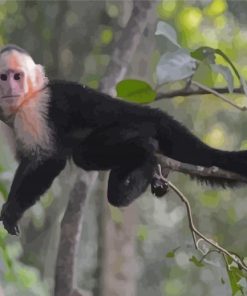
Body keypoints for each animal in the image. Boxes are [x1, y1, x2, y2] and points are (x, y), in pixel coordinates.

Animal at [0, 43, 247, 234]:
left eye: (18, 76)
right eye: (3, 77)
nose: (11, 87)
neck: (27, 98)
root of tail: (148, 112)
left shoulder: (33, 111)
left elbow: (51, 159)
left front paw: (13, 211)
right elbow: (27, 159)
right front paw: (7, 206)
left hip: (135, 125)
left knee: (87, 155)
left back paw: (147, 155)